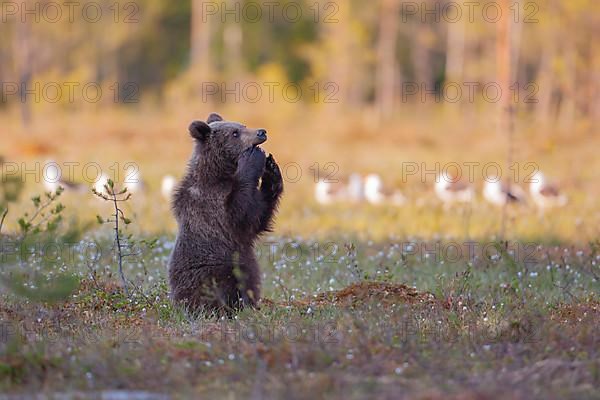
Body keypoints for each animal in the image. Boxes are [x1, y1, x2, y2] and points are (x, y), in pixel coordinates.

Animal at [168, 112, 282, 312]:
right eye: (235, 133)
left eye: (243, 125)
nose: (261, 132)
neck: (220, 173)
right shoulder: (214, 202)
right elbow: (242, 214)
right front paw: (253, 158)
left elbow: (259, 215)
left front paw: (272, 168)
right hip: (215, 271)